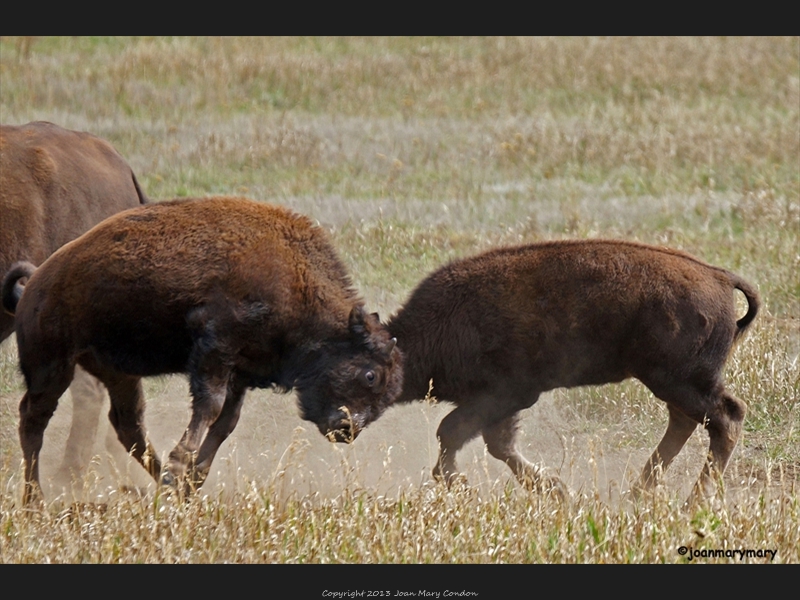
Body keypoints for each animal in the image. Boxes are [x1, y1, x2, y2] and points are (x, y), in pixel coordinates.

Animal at [0, 196, 400, 502]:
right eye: (370, 374)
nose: (348, 428)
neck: (295, 279)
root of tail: (33, 286)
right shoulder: (216, 350)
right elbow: (210, 407)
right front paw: (183, 465)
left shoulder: (242, 371)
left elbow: (226, 423)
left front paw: (191, 479)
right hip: (51, 365)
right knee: (34, 420)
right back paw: (34, 500)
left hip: (116, 372)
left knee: (128, 425)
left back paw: (166, 485)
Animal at [384, 239, 760, 502]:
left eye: (371, 374)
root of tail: (719, 277)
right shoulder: (499, 404)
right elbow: (495, 444)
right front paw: (558, 490)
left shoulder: (508, 395)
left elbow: (452, 433)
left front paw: (464, 485)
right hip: (673, 381)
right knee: (685, 421)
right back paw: (638, 494)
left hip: (679, 380)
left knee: (725, 417)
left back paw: (693, 502)